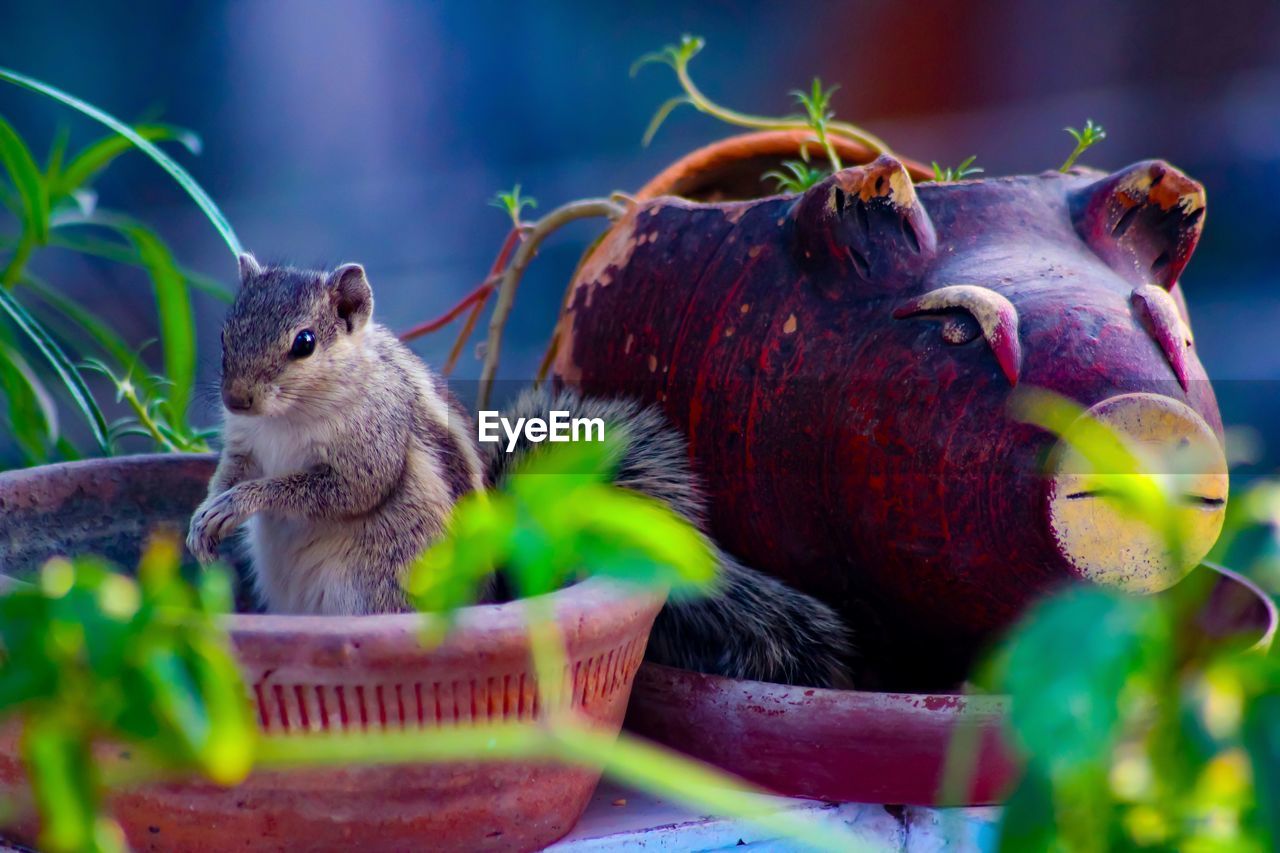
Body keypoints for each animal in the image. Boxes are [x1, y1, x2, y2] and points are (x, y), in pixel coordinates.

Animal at [189, 257, 849, 686]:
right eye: (223, 333)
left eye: (304, 342)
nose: (237, 399)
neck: (286, 417)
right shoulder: (245, 443)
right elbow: (231, 470)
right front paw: (204, 516)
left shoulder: (370, 443)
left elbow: (336, 490)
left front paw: (241, 503)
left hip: (378, 584)